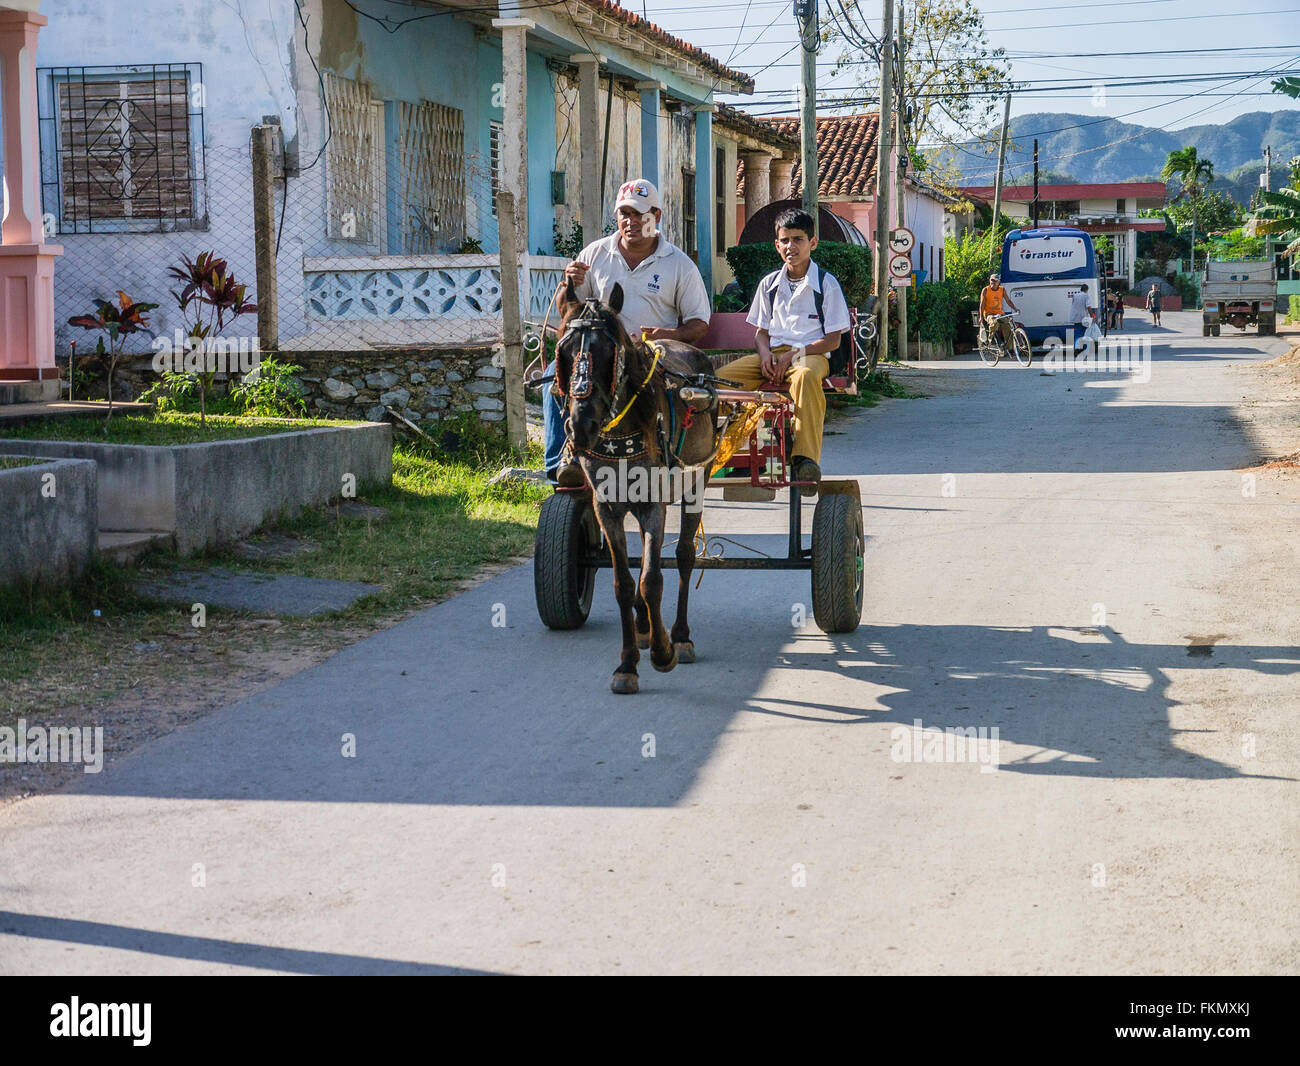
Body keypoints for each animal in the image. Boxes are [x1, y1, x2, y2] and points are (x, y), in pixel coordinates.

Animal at [553, 279, 722, 696]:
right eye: (565, 351)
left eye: (608, 351)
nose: (580, 426)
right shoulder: (607, 508)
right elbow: (623, 583)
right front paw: (628, 662)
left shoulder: (652, 505)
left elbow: (651, 579)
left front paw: (664, 653)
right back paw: (646, 627)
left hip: (696, 481)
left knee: (682, 556)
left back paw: (679, 635)